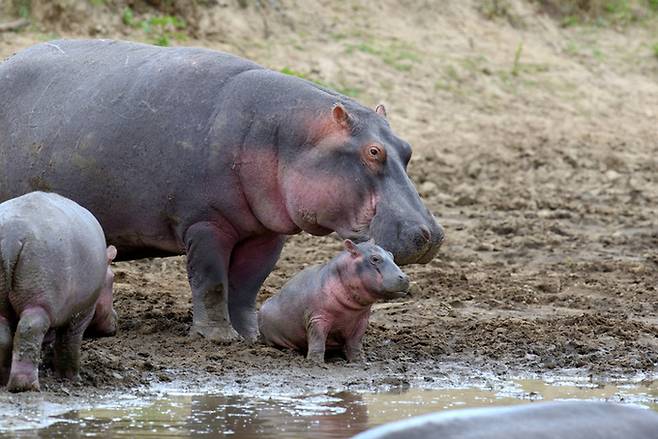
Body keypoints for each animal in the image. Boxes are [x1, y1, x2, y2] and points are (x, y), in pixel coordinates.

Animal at [0, 39, 444, 344]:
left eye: (407, 147)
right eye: (373, 152)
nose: (433, 234)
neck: (286, 137)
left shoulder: (267, 232)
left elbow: (248, 285)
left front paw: (251, 336)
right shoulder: (205, 223)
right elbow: (211, 280)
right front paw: (217, 338)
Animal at [0, 192, 116, 392]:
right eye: (113, 279)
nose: (116, 319)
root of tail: (12, 237)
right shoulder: (82, 311)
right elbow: (69, 342)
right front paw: (72, 378)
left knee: (3, 335)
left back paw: (2, 380)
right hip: (39, 302)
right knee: (29, 329)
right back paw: (25, 385)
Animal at [258, 241, 408, 364]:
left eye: (391, 255)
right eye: (375, 259)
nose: (405, 277)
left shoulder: (361, 320)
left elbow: (355, 343)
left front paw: (359, 361)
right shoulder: (317, 318)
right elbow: (318, 340)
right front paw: (315, 363)